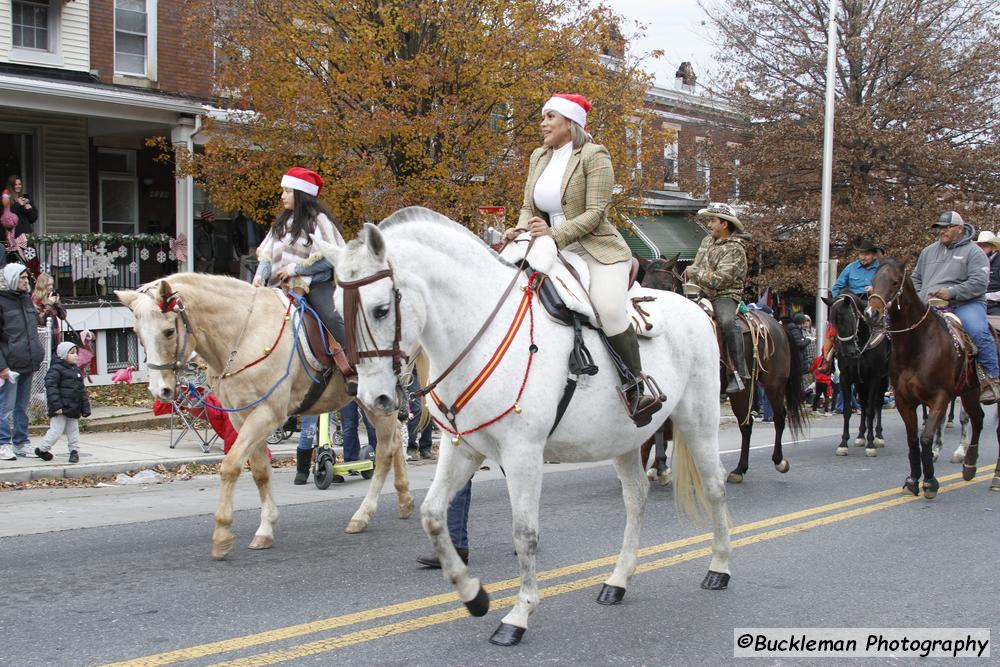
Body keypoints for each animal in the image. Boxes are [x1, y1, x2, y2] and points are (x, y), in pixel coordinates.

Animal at [117, 272, 422, 560]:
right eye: (137, 332)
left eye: (169, 331)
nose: (161, 390)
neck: (244, 333)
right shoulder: (244, 418)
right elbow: (260, 472)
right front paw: (265, 529)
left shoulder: (267, 414)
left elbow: (230, 466)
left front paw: (222, 534)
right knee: (396, 441)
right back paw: (404, 499)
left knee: (384, 451)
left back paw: (363, 515)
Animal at [314, 209, 736, 648]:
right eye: (336, 310)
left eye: (381, 309)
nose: (372, 398)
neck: (476, 332)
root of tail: (695, 308)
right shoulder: (463, 448)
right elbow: (432, 514)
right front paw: (473, 595)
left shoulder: (523, 454)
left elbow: (524, 534)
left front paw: (517, 615)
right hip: (625, 437)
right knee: (635, 499)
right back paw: (618, 581)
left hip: (698, 419)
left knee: (714, 487)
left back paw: (719, 567)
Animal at [640, 253, 812, 482]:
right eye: (644, 286)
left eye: (666, 287)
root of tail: (778, 325)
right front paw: (656, 467)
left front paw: (659, 467)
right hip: (743, 390)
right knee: (746, 425)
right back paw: (740, 469)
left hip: (774, 384)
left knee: (778, 417)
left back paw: (778, 461)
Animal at [820, 294, 892, 456]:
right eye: (833, 323)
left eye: (848, 318)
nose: (848, 351)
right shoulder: (846, 378)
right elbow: (848, 410)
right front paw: (843, 443)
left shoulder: (874, 377)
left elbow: (872, 410)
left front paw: (871, 444)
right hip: (860, 382)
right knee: (863, 404)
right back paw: (860, 436)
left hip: (883, 379)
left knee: (877, 403)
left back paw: (878, 436)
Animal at [860, 258, 1000, 498]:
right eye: (873, 280)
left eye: (895, 282)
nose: (871, 314)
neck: (917, 345)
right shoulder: (904, 400)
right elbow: (912, 440)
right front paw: (912, 480)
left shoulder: (940, 397)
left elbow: (925, 436)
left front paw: (930, 482)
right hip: (970, 392)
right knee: (978, 419)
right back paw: (969, 466)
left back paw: (995, 478)